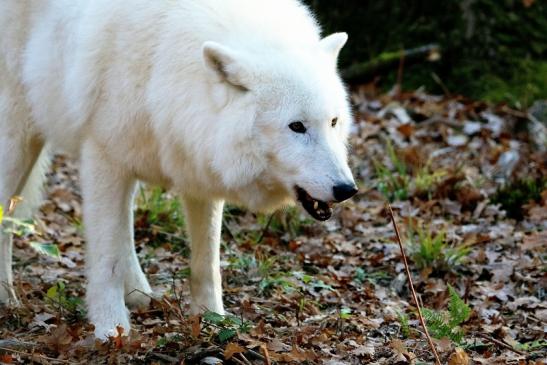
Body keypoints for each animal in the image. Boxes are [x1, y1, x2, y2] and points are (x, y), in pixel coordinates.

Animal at [0, 0, 358, 336]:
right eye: (296, 126)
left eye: (333, 122)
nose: (347, 189)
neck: (165, 69)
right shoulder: (103, 158)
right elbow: (106, 260)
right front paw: (111, 330)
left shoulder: (197, 163)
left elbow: (206, 262)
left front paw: (213, 319)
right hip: (19, 138)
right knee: (8, 219)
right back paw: (7, 299)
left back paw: (139, 292)